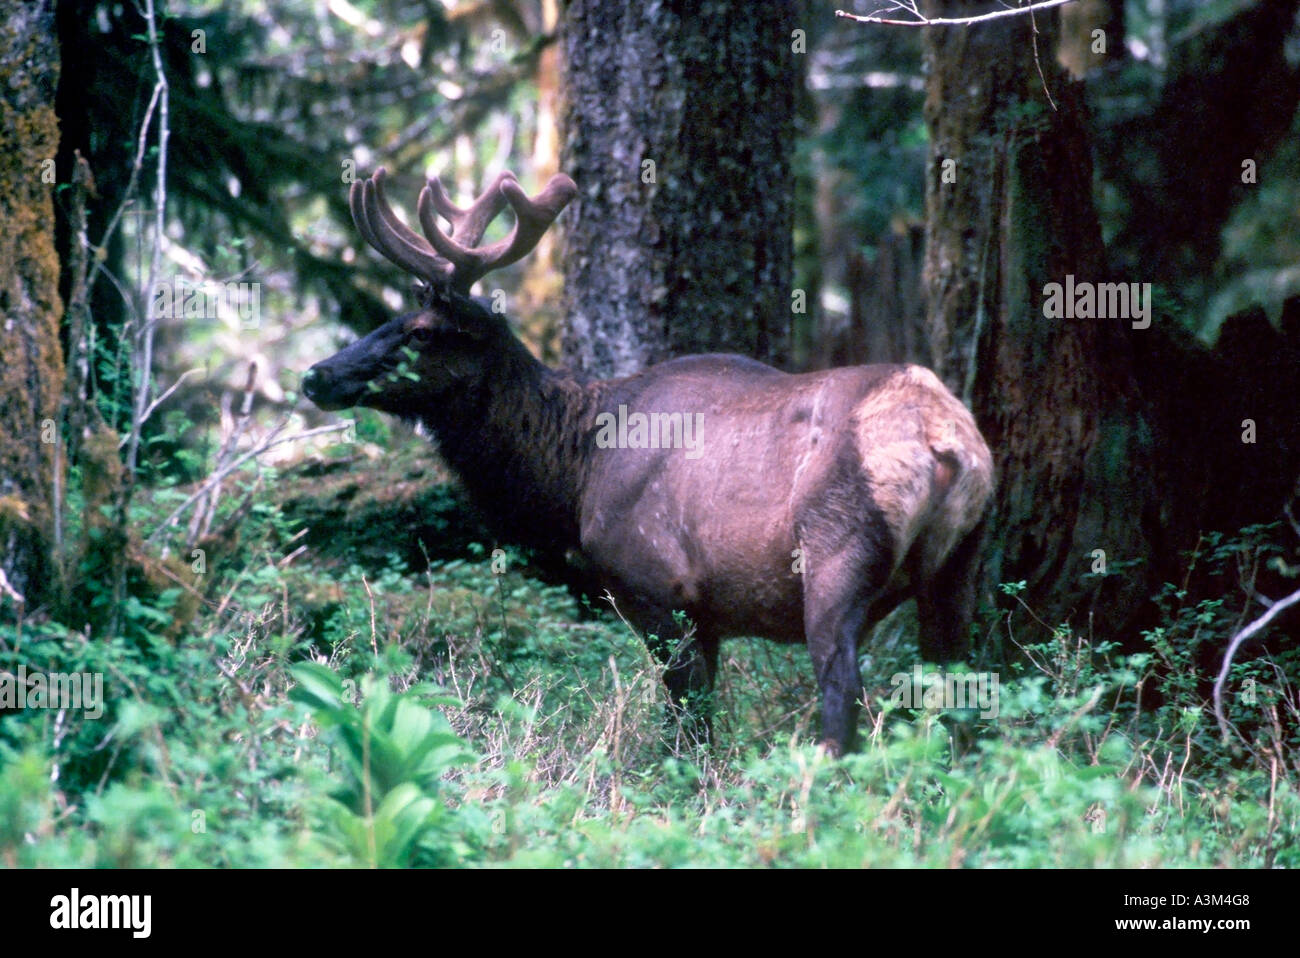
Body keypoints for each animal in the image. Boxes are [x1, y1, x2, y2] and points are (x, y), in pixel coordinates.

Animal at [301, 166, 995, 756]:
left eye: (421, 331)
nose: (316, 375)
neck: (573, 472)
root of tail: (946, 439)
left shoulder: (653, 583)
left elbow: (686, 723)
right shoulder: (707, 613)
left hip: (836, 552)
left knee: (843, 692)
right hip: (960, 561)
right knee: (963, 689)